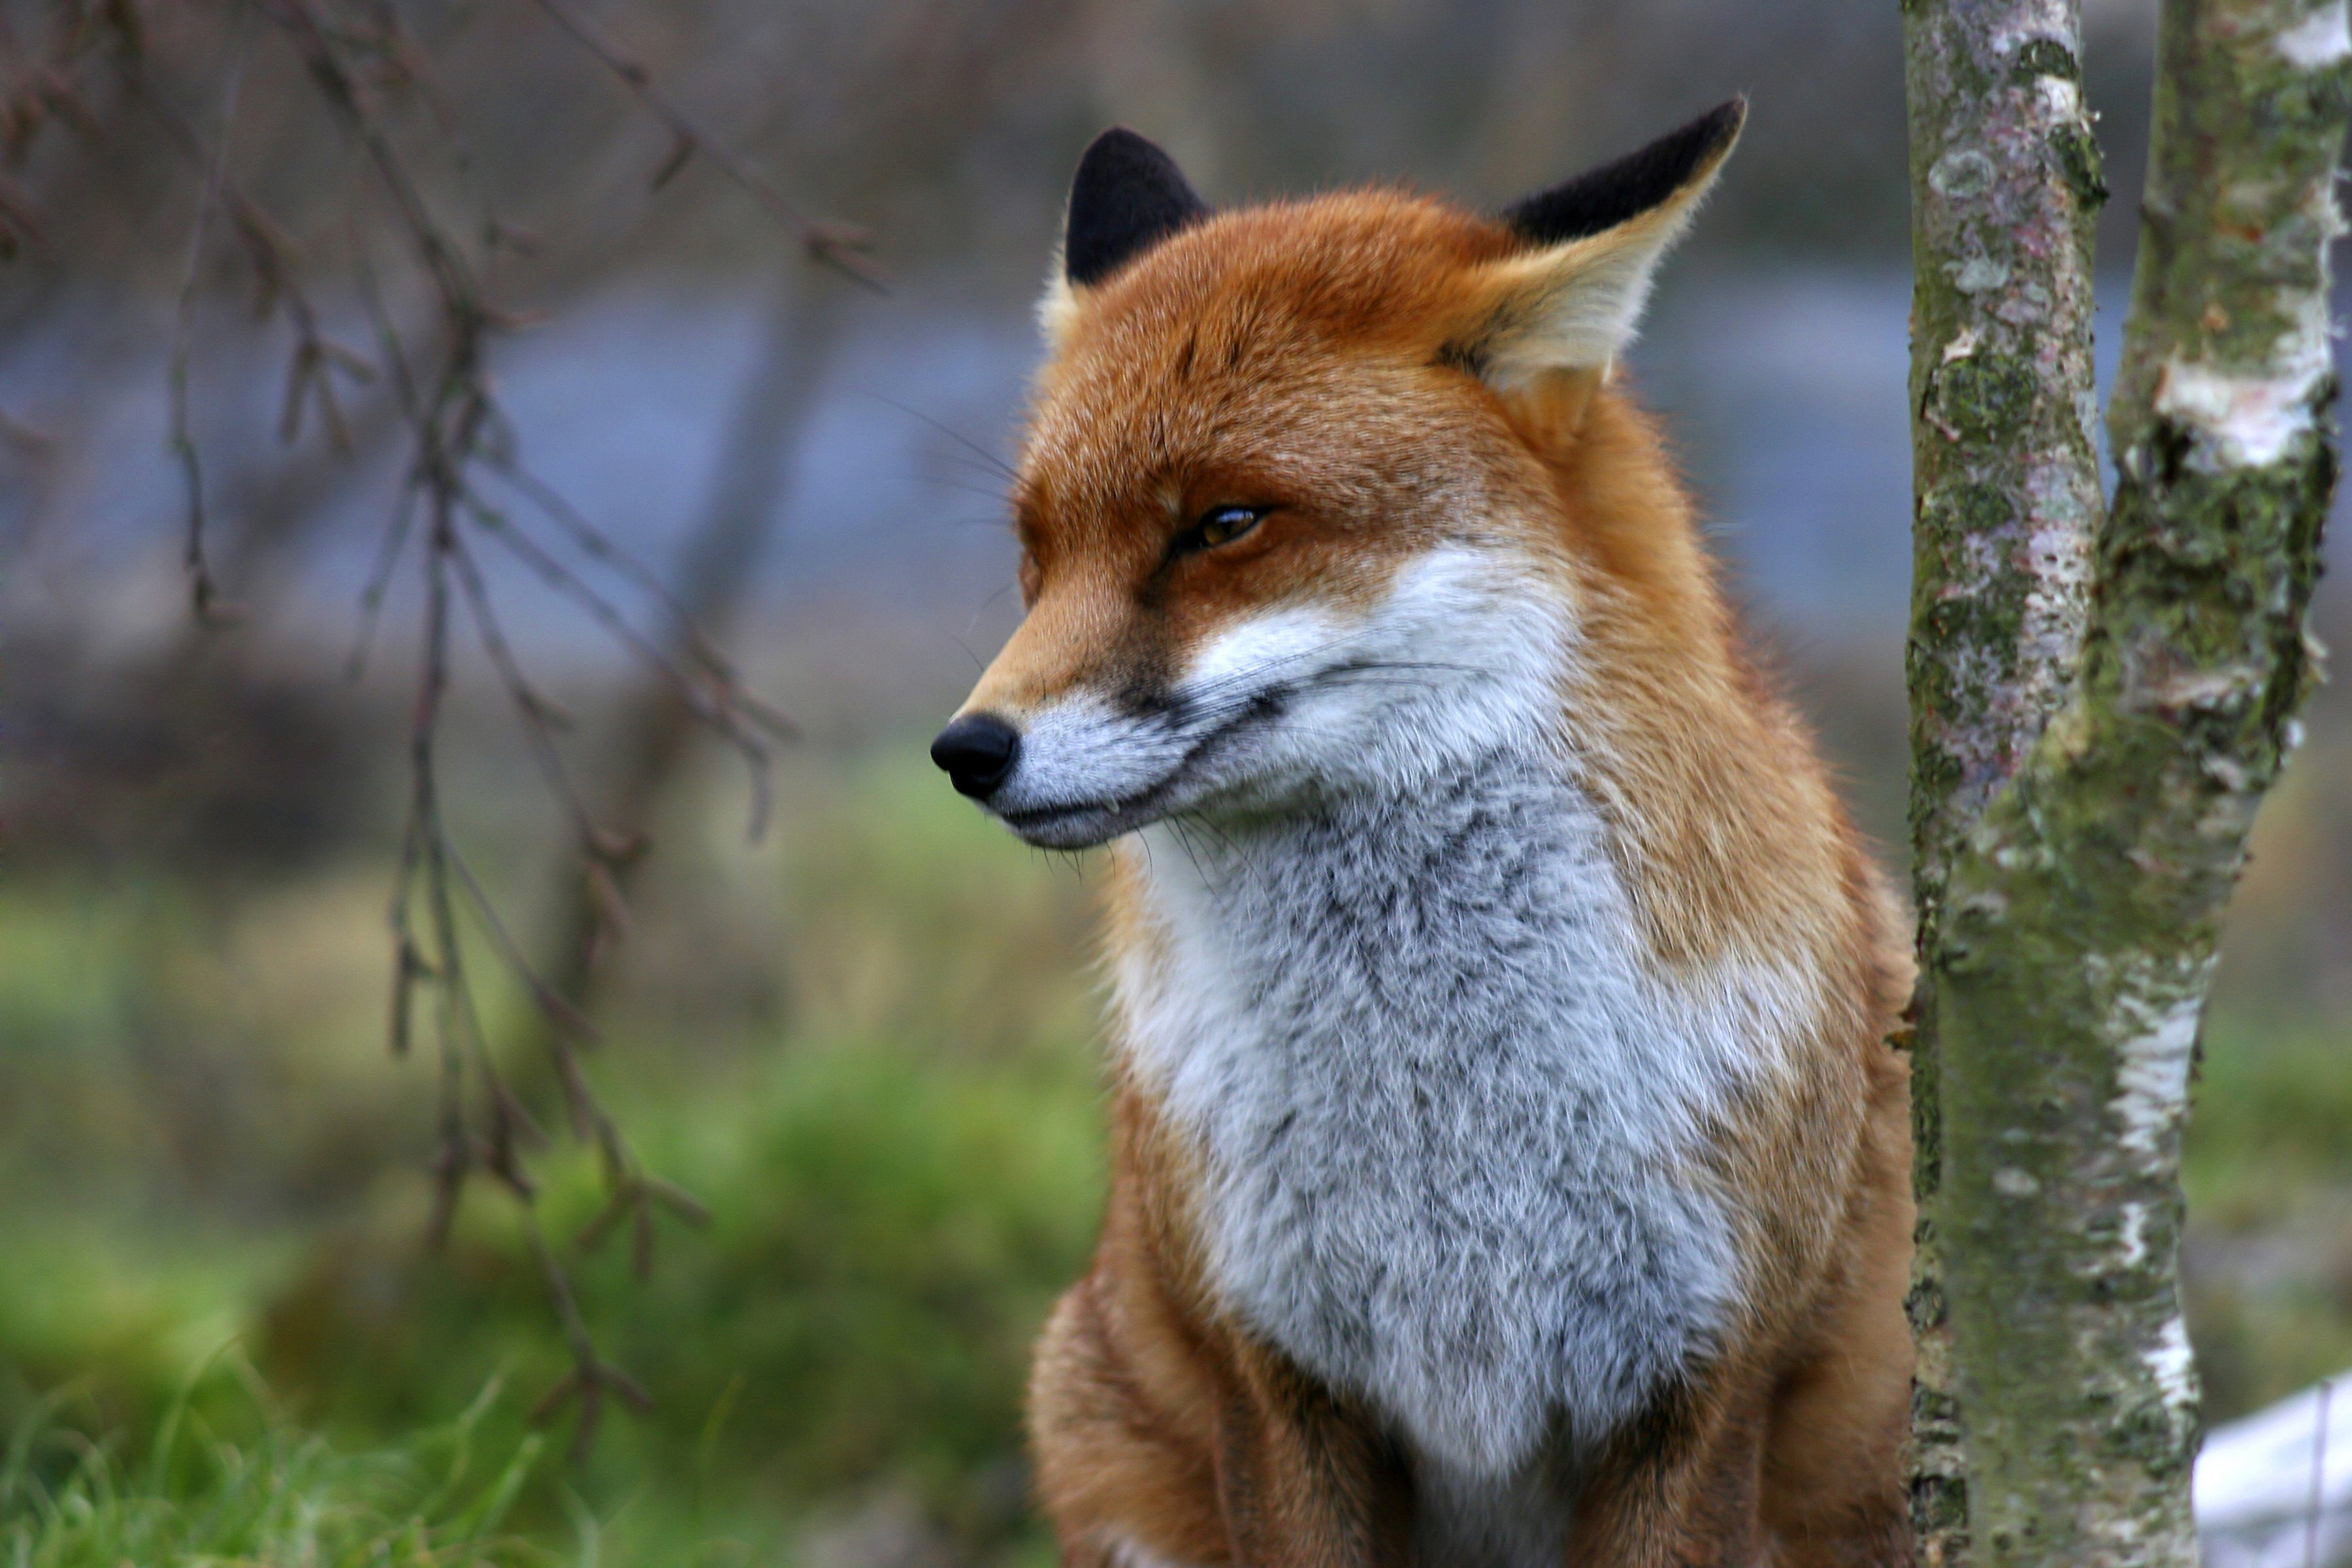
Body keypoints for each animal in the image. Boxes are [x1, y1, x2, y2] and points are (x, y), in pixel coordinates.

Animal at [926, 101, 1919, 1568]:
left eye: (1226, 524)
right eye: (1037, 556)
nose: (968, 754)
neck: (1447, 1115)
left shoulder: (1700, 1386)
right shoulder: (1275, 1385)